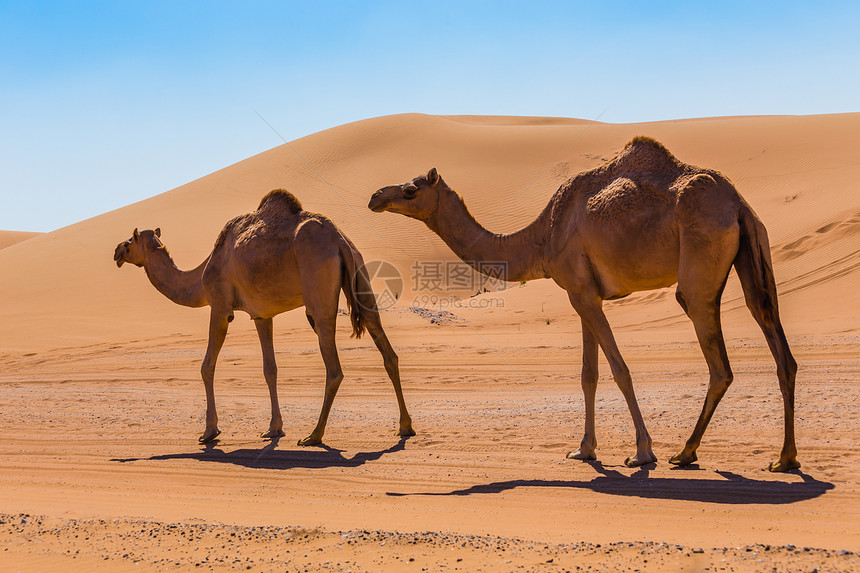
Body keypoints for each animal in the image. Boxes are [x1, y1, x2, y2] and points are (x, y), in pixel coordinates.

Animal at [114, 190, 416, 444]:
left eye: (129, 241)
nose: (116, 251)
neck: (199, 277)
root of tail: (339, 240)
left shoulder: (220, 307)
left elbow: (206, 366)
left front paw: (210, 431)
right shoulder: (261, 315)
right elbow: (270, 369)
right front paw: (274, 428)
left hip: (318, 294)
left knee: (334, 368)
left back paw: (314, 435)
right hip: (361, 272)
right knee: (386, 348)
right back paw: (404, 426)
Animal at [370, 137, 800, 470]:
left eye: (410, 190)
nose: (374, 196)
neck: (541, 237)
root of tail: (737, 204)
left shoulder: (581, 292)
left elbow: (619, 370)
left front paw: (642, 453)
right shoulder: (582, 294)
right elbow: (587, 374)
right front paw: (584, 450)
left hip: (699, 265)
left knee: (719, 363)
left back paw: (685, 452)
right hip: (753, 254)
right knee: (778, 345)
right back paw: (784, 458)